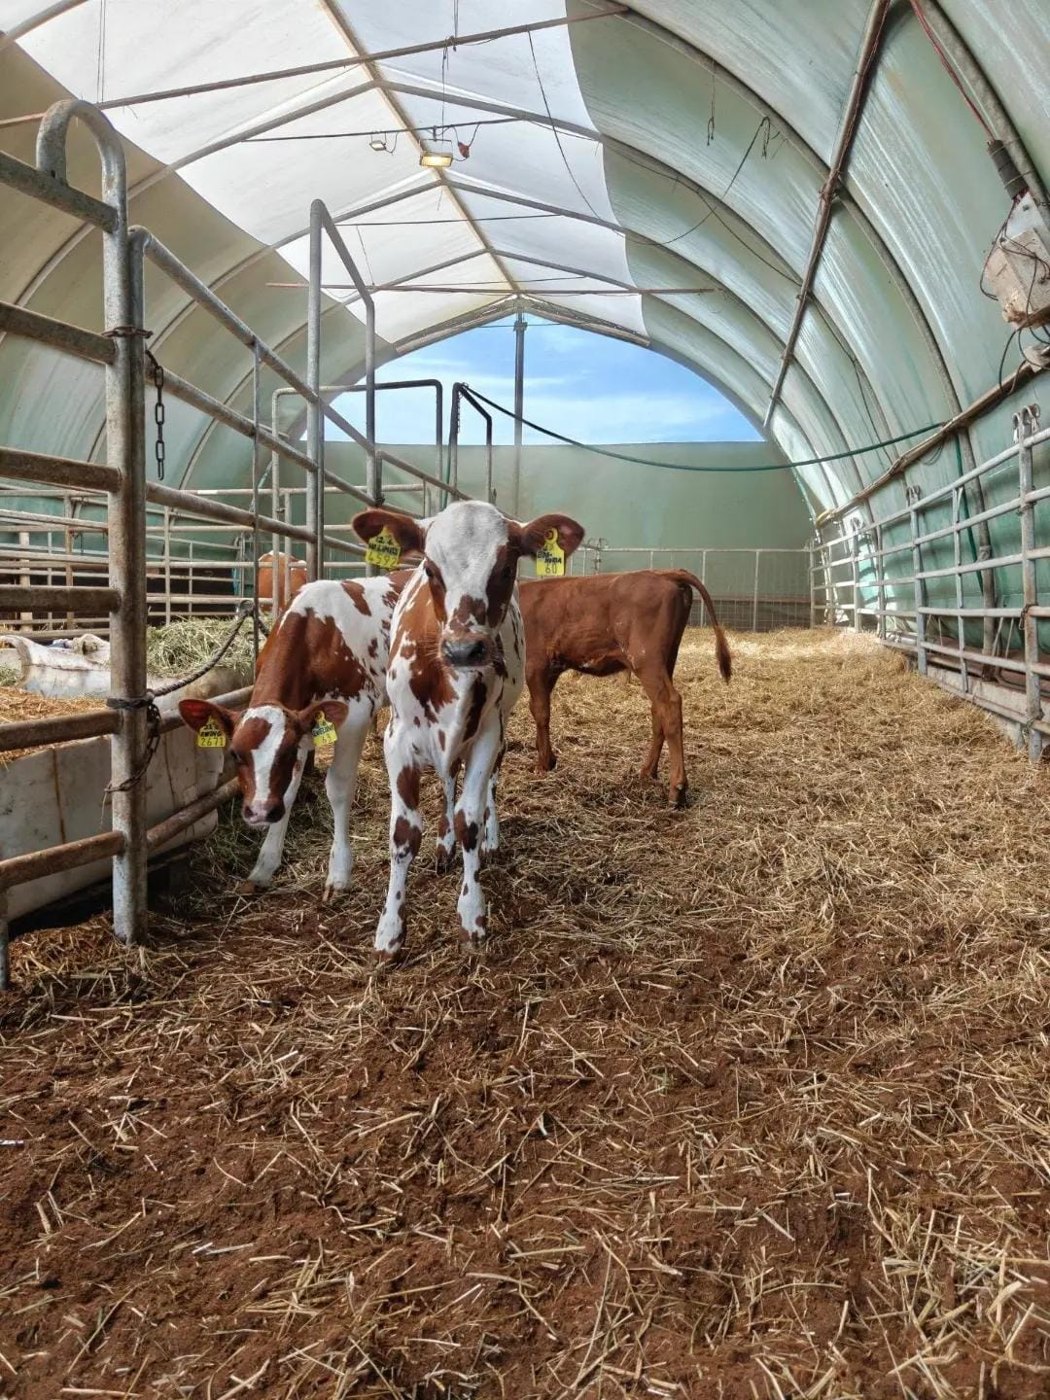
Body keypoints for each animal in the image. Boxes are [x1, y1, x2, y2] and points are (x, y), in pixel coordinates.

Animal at [178, 573, 408, 900]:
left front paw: (339, 873)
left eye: (285, 751)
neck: (315, 631)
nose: (260, 811)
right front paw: (264, 866)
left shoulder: (355, 714)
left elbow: (338, 787)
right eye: (234, 753)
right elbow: (287, 791)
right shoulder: (300, 724)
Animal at [351, 500, 585, 959]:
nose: (464, 649)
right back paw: (443, 846)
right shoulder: (398, 738)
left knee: (486, 784)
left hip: (500, 725)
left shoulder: (487, 734)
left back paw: (489, 839)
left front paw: (472, 913)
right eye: (429, 567)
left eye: (507, 567)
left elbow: (469, 819)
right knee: (446, 783)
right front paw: (390, 929)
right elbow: (404, 831)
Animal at [517, 570, 732, 808]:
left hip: (646, 660)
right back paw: (648, 771)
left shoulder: (535, 664)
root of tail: (662, 573)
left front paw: (543, 764)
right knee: (658, 710)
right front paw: (547, 758)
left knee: (670, 704)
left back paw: (677, 789)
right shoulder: (551, 668)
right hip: (667, 659)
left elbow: (540, 712)